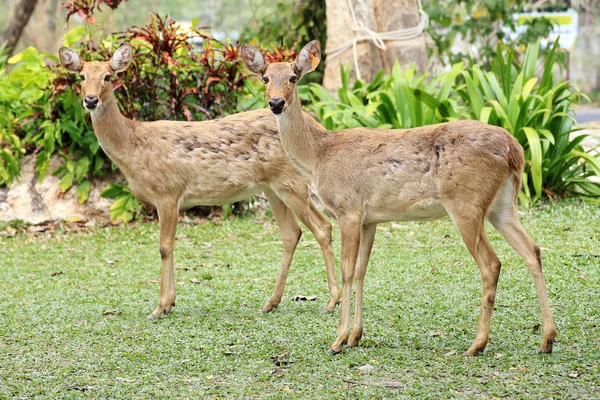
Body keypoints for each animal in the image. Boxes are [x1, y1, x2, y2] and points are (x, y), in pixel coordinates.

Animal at [59, 43, 342, 318]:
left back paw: (331, 301)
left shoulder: (167, 191)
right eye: (81, 76)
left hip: (290, 182)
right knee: (292, 233)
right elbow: (171, 245)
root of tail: (317, 129)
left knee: (322, 227)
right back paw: (271, 302)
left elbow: (164, 247)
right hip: (273, 187)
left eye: (108, 76)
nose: (91, 100)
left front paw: (160, 306)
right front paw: (171, 303)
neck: (132, 146)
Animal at [240, 39, 556, 354]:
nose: (276, 103)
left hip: (465, 202)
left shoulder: (348, 209)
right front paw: (356, 336)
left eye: (293, 77)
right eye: (265, 78)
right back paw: (547, 339)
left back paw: (477, 344)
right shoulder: (370, 219)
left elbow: (346, 270)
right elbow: (361, 271)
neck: (318, 155)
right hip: (502, 205)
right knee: (532, 251)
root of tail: (516, 149)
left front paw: (338, 340)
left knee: (492, 263)